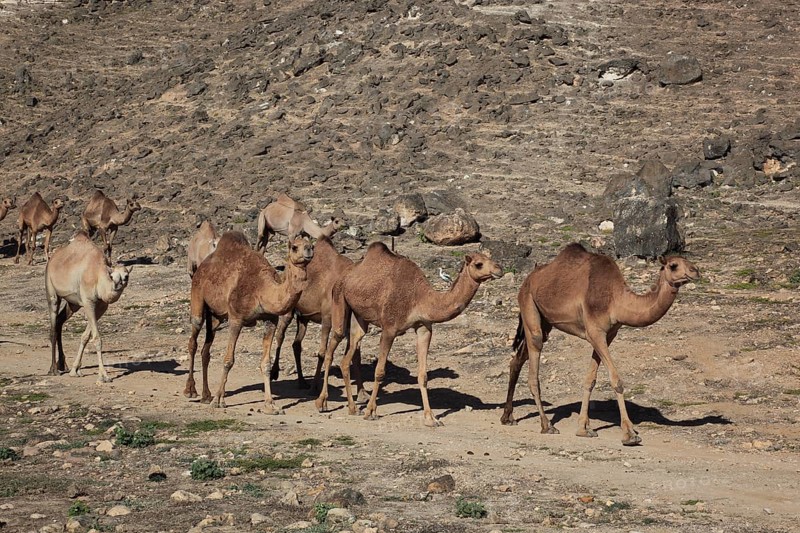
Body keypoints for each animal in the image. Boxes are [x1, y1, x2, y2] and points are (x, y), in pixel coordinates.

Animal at [45, 232, 133, 382]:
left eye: (125, 276)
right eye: (112, 276)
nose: (117, 285)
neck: (98, 276)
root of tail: (52, 259)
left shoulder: (101, 307)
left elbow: (86, 336)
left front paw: (75, 370)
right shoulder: (88, 302)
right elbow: (96, 338)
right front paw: (103, 376)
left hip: (73, 304)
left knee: (59, 321)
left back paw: (63, 365)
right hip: (51, 291)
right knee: (53, 326)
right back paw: (53, 370)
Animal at [184, 231, 313, 414]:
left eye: (311, 244)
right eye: (295, 247)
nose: (309, 250)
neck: (262, 290)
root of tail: (202, 265)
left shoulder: (271, 320)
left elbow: (265, 363)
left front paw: (270, 405)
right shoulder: (236, 318)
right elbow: (228, 360)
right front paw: (218, 400)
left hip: (216, 316)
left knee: (206, 349)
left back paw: (206, 395)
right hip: (197, 295)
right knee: (193, 340)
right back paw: (191, 390)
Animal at [268, 236, 364, 395]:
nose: (308, 249)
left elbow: (356, 353)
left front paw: (362, 393)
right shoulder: (327, 318)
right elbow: (322, 352)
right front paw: (314, 389)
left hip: (304, 317)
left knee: (296, 344)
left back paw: (302, 382)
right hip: (288, 310)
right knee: (280, 335)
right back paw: (274, 373)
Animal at [315, 242, 503, 427]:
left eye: (490, 258)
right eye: (478, 264)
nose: (499, 269)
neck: (420, 298)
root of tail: (347, 274)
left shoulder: (424, 328)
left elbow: (423, 375)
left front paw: (431, 419)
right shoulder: (389, 329)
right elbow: (379, 372)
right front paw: (371, 412)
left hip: (360, 316)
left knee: (347, 356)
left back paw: (353, 408)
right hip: (339, 298)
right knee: (333, 345)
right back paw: (322, 402)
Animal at [501, 242, 700, 446]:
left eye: (688, 262)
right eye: (674, 265)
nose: (696, 271)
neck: (616, 300)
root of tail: (528, 279)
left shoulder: (608, 334)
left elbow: (590, 380)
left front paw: (583, 428)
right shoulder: (595, 332)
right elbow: (616, 380)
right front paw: (629, 434)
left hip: (545, 320)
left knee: (516, 360)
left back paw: (508, 417)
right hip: (529, 305)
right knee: (534, 365)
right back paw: (546, 425)